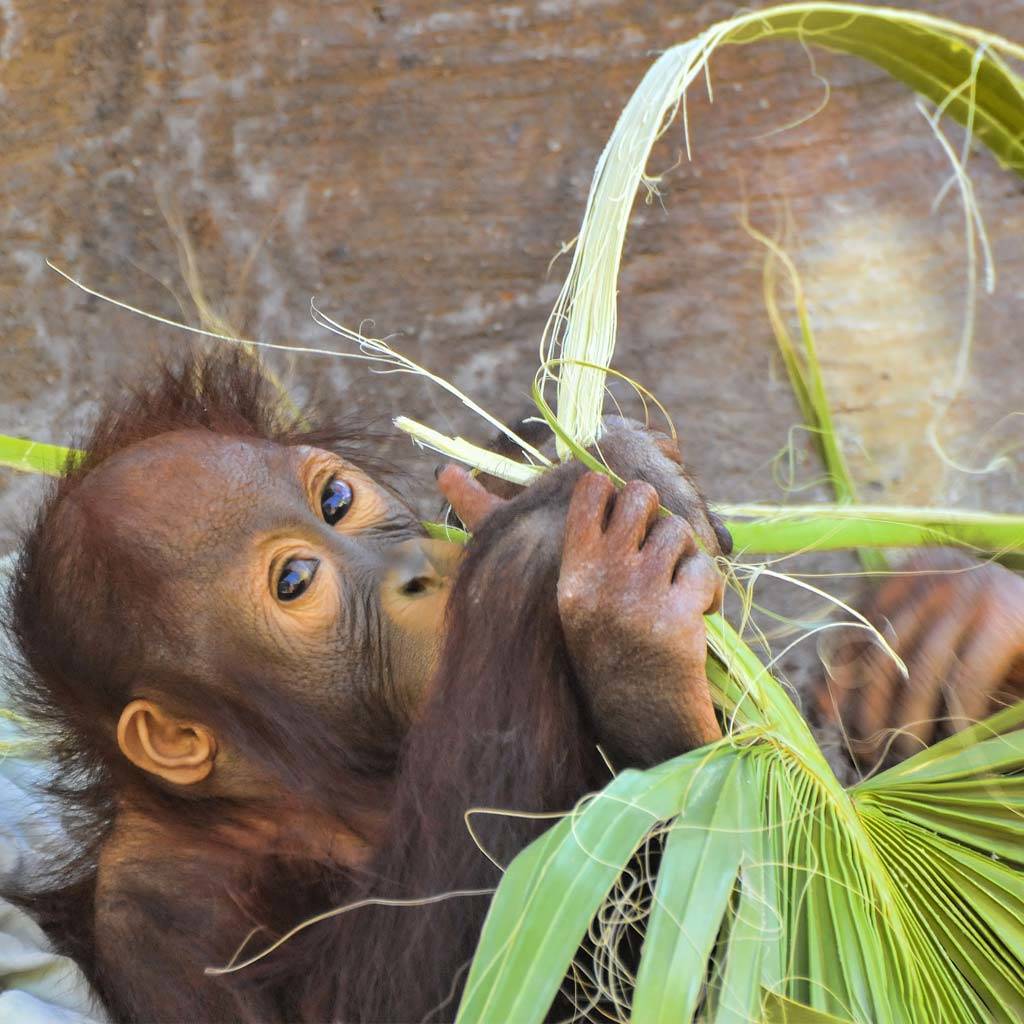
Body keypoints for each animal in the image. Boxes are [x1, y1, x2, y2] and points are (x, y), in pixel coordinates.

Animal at [4, 349, 730, 1022]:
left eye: (336, 502)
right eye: (294, 581)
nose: (415, 570)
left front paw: (575, 457)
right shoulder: (163, 910)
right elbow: (378, 1002)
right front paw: (573, 552)